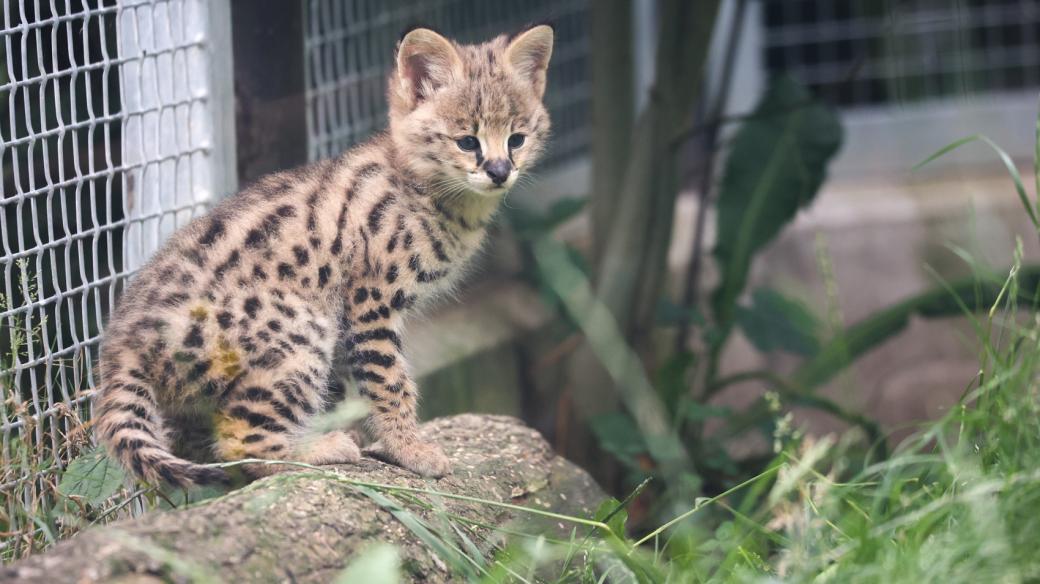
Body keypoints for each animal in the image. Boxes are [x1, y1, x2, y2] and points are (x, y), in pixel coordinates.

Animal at [93, 24, 557, 484]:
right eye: (466, 141)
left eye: (517, 139)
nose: (499, 172)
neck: (427, 188)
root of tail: (119, 345)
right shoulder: (370, 303)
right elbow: (390, 382)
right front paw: (410, 449)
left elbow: (355, 387)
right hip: (300, 328)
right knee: (239, 442)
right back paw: (321, 449)